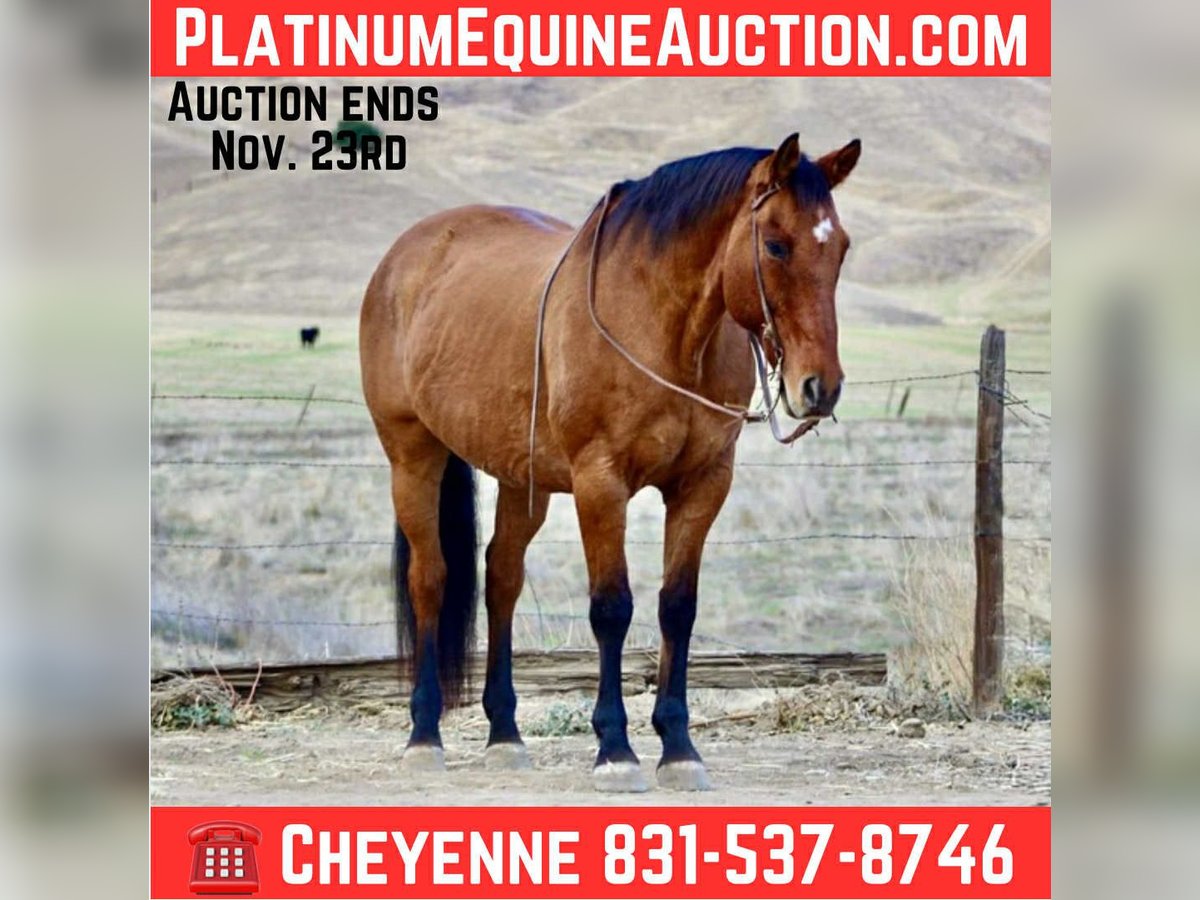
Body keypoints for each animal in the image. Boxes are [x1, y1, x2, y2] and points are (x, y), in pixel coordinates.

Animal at [360, 133, 860, 792]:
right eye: (776, 244)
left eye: (841, 248)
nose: (819, 387)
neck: (662, 325)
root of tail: (404, 256)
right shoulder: (601, 485)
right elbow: (612, 608)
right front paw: (615, 749)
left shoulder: (703, 485)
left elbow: (677, 606)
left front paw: (678, 747)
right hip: (413, 456)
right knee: (431, 578)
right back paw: (423, 734)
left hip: (522, 480)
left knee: (502, 579)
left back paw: (505, 734)